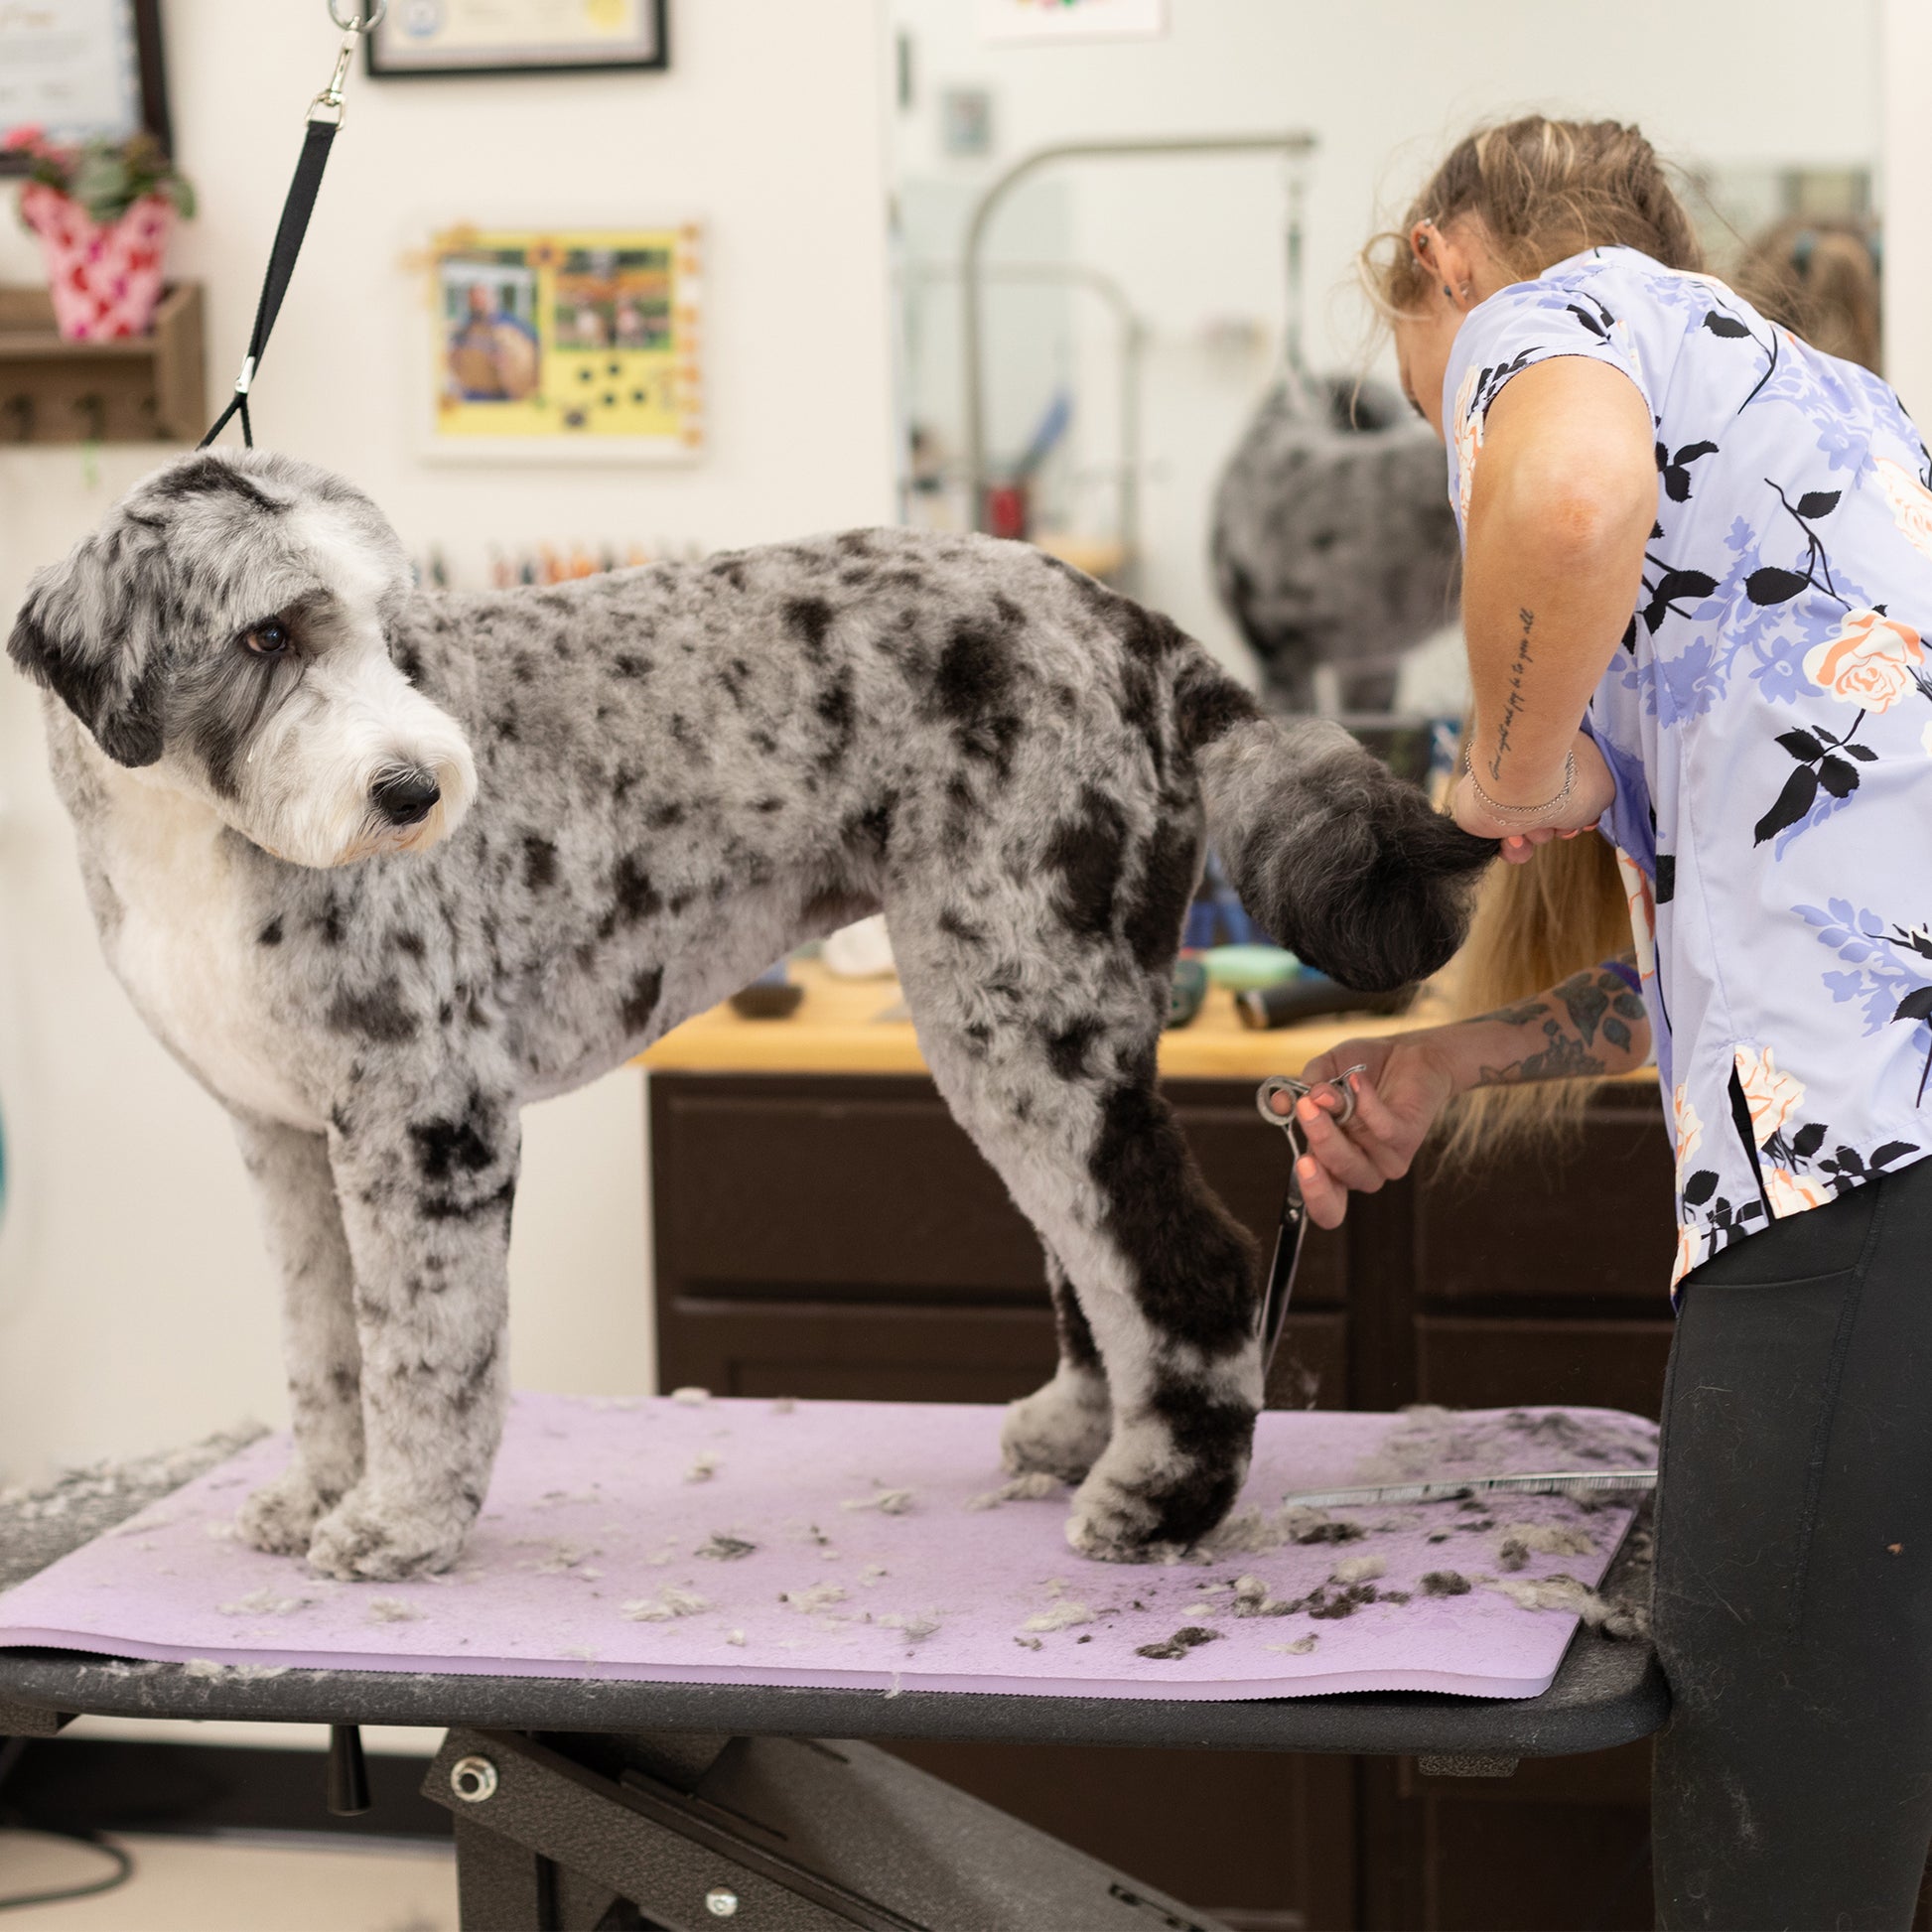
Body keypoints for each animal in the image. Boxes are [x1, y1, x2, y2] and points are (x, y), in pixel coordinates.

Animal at [3, 452, 1491, 1584]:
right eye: (266, 633)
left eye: (386, 629)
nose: (416, 789)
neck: (196, 836)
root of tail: (1136, 629)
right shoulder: (283, 1132)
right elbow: (325, 1347)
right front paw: (317, 1495)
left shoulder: (426, 1121)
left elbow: (421, 1348)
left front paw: (399, 1524)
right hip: (1026, 1017)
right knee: (1091, 1245)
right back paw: (1083, 1428)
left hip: (1024, 1002)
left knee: (1184, 1257)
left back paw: (1158, 1497)